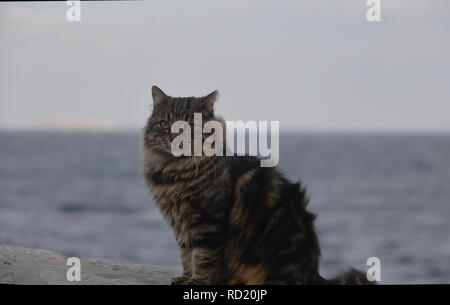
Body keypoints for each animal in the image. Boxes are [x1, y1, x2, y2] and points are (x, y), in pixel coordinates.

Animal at [142, 85, 370, 282]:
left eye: (189, 126)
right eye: (164, 124)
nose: (173, 137)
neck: (175, 172)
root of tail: (313, 273)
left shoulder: (207, 222)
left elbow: (202, 259)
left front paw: (196, 282)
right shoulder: (180, 224)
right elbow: (186, 256)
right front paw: (185, 278)